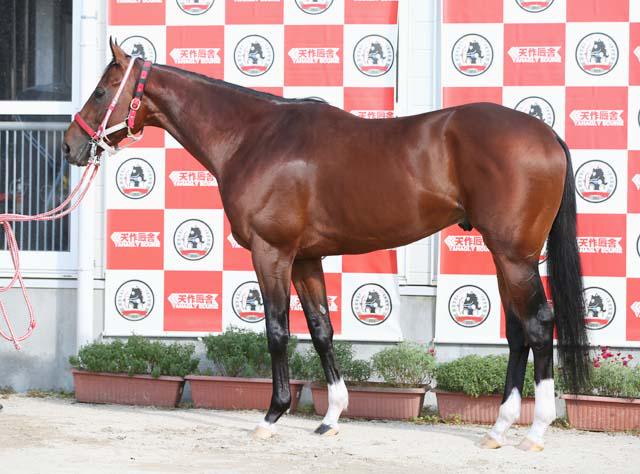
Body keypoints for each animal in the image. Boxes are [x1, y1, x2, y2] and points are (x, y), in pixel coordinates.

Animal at [63, 39, 590, 451]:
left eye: (102, 90)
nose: (70, 145)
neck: (253, 137)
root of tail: (546, 134)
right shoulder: (306, 258)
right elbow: (321, 330)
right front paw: (331, 417)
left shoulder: (271, 252)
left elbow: (277, 331)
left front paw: (272, 415)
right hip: (505, 256)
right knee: (519, 332)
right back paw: (498, 428)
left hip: (514, 256)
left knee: (539, 324)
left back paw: (536, 430)